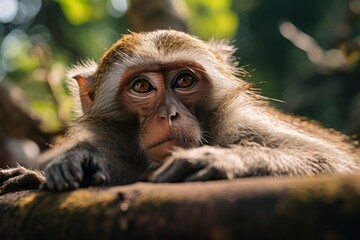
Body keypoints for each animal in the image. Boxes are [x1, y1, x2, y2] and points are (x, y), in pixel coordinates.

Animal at [0, 28, 358, 193]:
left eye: (184, 80)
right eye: (142, 86)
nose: (169, 114)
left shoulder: (243, 125)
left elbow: (337, 164)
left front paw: (221, 160)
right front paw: (70, 164)